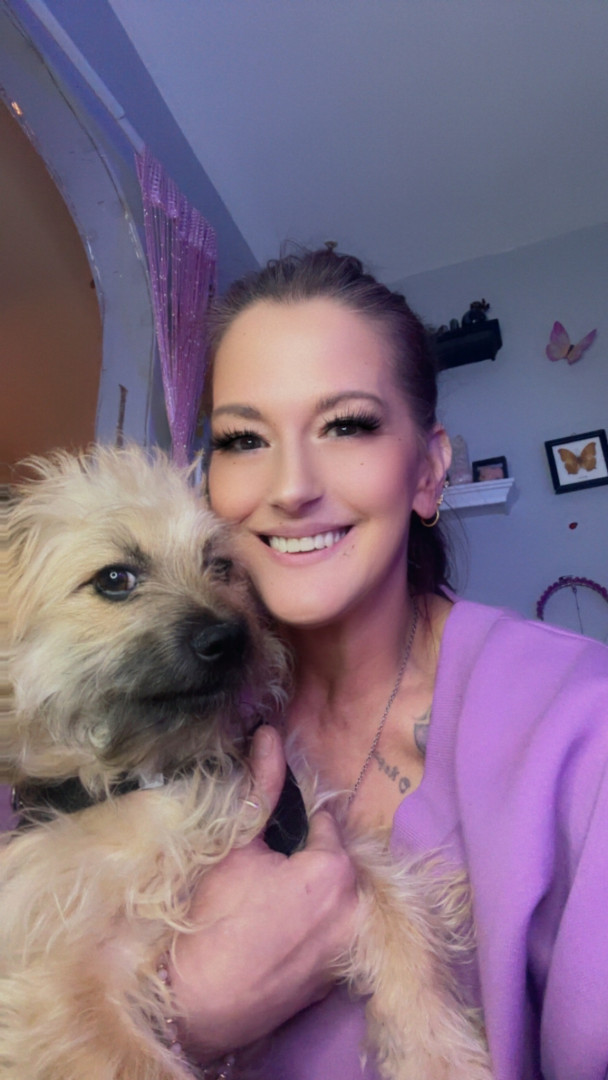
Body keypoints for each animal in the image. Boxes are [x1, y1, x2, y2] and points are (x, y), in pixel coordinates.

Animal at [2, 445, 492, 1080]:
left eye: (220, 565)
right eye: (114, 579)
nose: (230, 639)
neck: (164, 775)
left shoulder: (318, 834)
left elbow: (403, 918)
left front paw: (439, 1054)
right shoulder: (61, 991)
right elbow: (137, 1061)